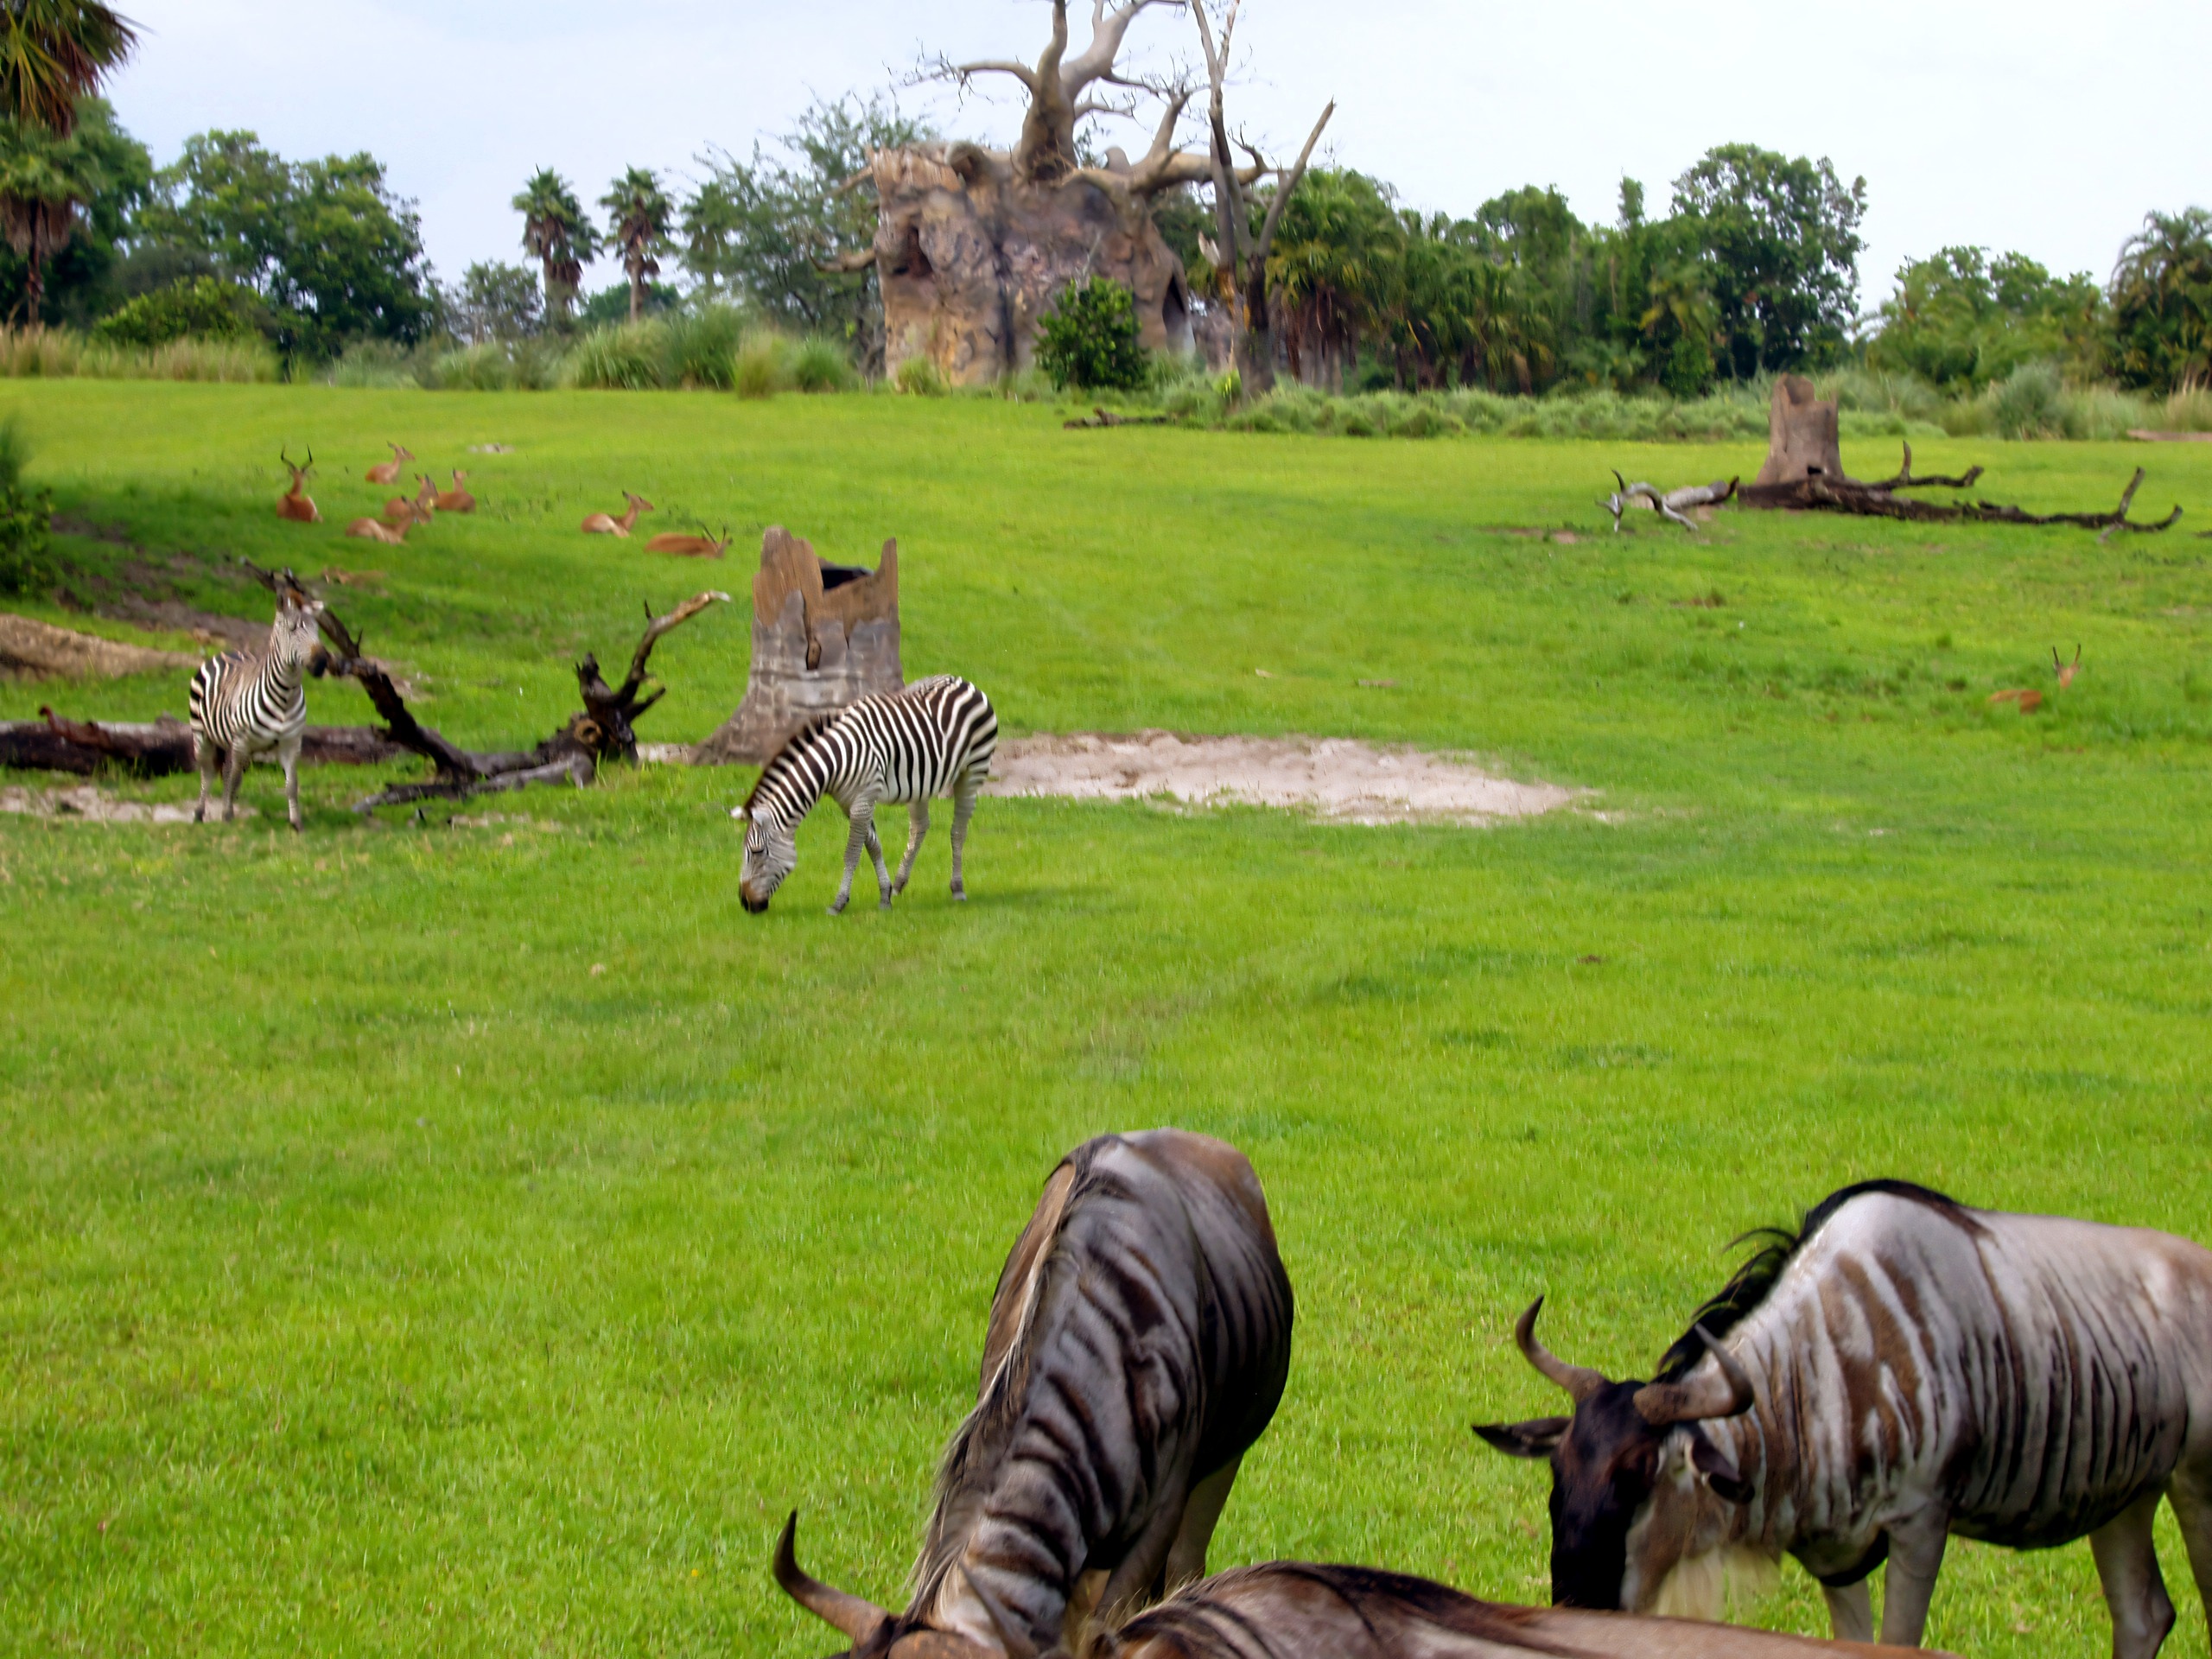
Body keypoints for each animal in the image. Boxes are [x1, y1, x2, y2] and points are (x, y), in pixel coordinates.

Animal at [189, 575, 325, 832]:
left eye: (318, 631)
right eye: (293, 629)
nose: (322, 662)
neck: (285, 696)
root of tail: (229, 652)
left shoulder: (291, 744)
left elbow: (291, 784)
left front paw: (296, 823)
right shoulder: (242, 741)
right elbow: (233, 779)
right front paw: (227, 816)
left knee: (226, 771)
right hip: (203, 735)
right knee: (208, 772)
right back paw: (200, 813)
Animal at [733, 673, 996, 915]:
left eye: (757, 853)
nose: (746, 904)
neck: (835, 761)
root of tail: (960, 680)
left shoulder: (863, 799)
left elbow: (852, 852)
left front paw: (839, 902)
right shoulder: (850, 802)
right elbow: (873, 846)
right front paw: (886, 895)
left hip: (972, 771)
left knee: (958, 831)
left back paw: (957, 888)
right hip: (920, 783)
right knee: (920, 826)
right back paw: (900, 883)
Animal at [1475, 1181, 2212, 1654]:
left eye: (1642, 1471)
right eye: (1558, 1476)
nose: (1574, 1601)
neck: (1824, 1367)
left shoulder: (1921, 1525)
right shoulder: (1834, 1556)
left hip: (2195, 1488)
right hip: (2125, 1496)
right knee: (2144, 1616)